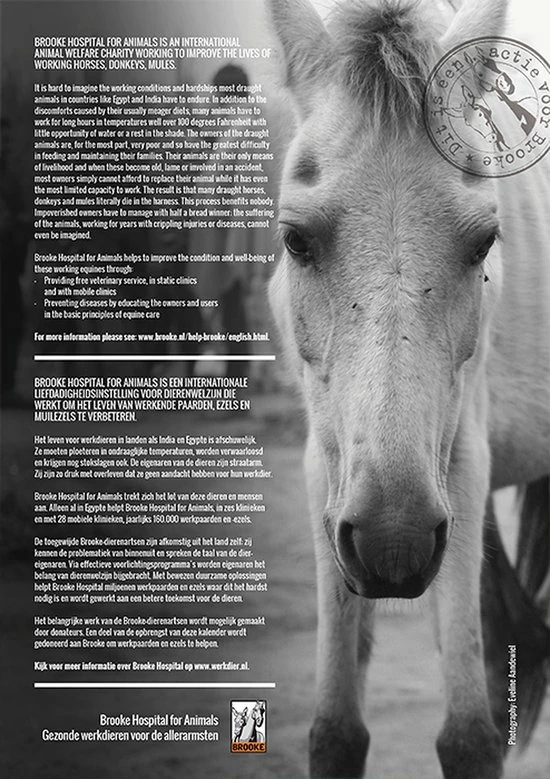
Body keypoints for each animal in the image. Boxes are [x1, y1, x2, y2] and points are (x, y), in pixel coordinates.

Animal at [266, 0, 549, 777]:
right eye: (296, 240)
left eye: (484, 242)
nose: (393, 542)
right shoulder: (325, 468)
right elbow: (335, 731)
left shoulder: (464, 465)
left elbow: (469, 736)